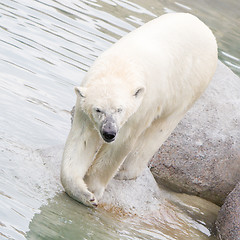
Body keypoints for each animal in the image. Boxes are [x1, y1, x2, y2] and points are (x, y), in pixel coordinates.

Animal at [60, 12, 218, 206]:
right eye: (98, 110)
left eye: (119, 109)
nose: (109, 133)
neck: (119, 67)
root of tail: (203, 26)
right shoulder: (85, 109)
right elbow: (81, 140)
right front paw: (83, 193)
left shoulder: (141, 106)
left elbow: (121, 144)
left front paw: (94, 189)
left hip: (190, 86)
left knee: (159, 130)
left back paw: (124, 172)